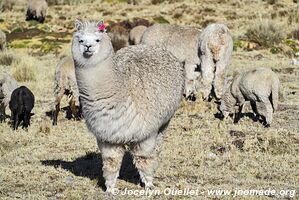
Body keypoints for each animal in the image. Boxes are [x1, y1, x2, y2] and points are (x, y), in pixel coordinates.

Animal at [72, 19, 185, 191]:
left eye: (97, 40)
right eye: (81, 40)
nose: (88, 47)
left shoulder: (145, 133)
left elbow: (144, 159)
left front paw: (149, 185)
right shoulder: (107, 137)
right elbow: (111, 163)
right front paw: (110, 189)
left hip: (165, 120)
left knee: (157, 146)